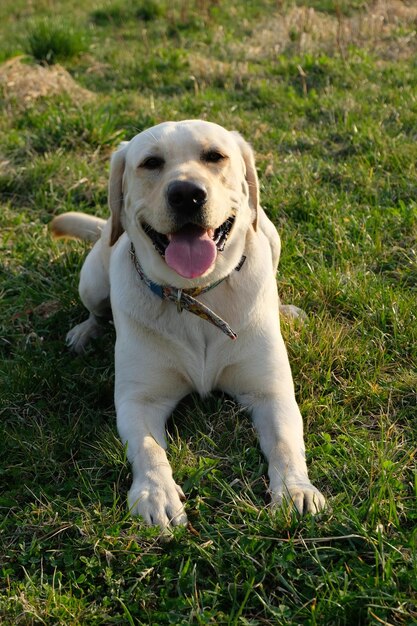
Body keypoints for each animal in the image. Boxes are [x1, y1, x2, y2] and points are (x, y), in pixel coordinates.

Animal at [52, 119, 324, 524]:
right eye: (150, 163)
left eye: (215, 156)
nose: (186, 194)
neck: (194, 296)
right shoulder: (139, 400)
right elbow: (148, 449)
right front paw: (155, 494)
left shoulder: (270, 393)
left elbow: (286, 444)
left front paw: (295, 489)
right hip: (93, 280)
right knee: (96, 309)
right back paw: (86, 331)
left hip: (271, 234)